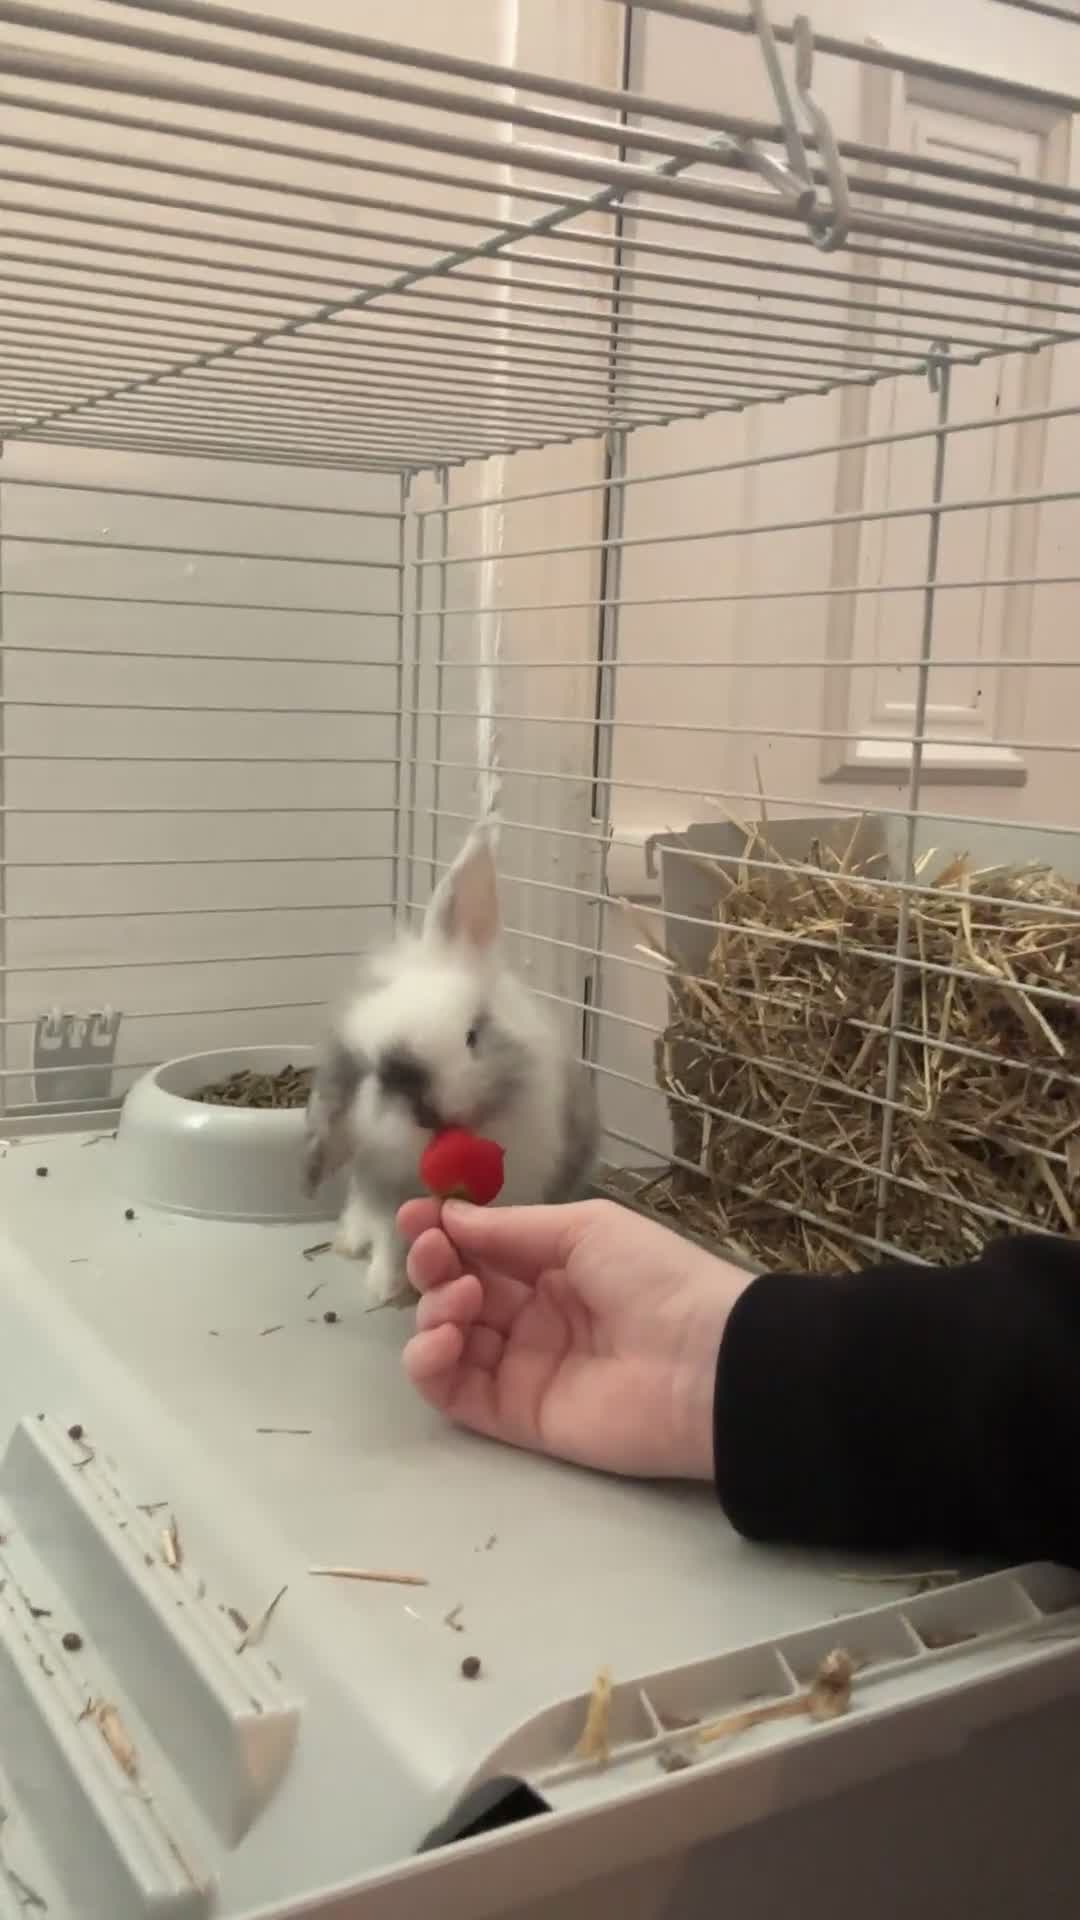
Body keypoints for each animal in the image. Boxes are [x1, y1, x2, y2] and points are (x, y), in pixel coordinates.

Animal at [303, 818, 599, 1307]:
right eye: (380, 1073)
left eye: (473, 1036)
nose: (430, 1114)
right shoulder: (386, 1197)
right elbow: (391, 1241)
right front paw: (387, 1290)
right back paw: (351, 1243)